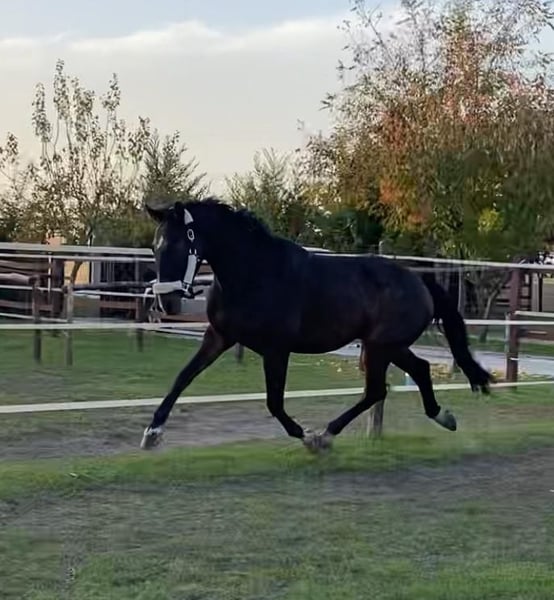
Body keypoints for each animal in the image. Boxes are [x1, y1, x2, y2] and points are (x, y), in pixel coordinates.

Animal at [140, 198, 493, 452]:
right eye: (155, 246)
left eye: (177, 244)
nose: (166, 302)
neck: (254, 273)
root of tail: (419, 280)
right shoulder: (219, 336)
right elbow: (182, 378)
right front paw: (152, 433)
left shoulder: (276, 350)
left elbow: (274, 402)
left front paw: (305, 436)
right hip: (388, 346)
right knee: (417, 370)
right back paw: (443, 416)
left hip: (380, 346)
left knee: (378, 389)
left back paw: (325, 435)